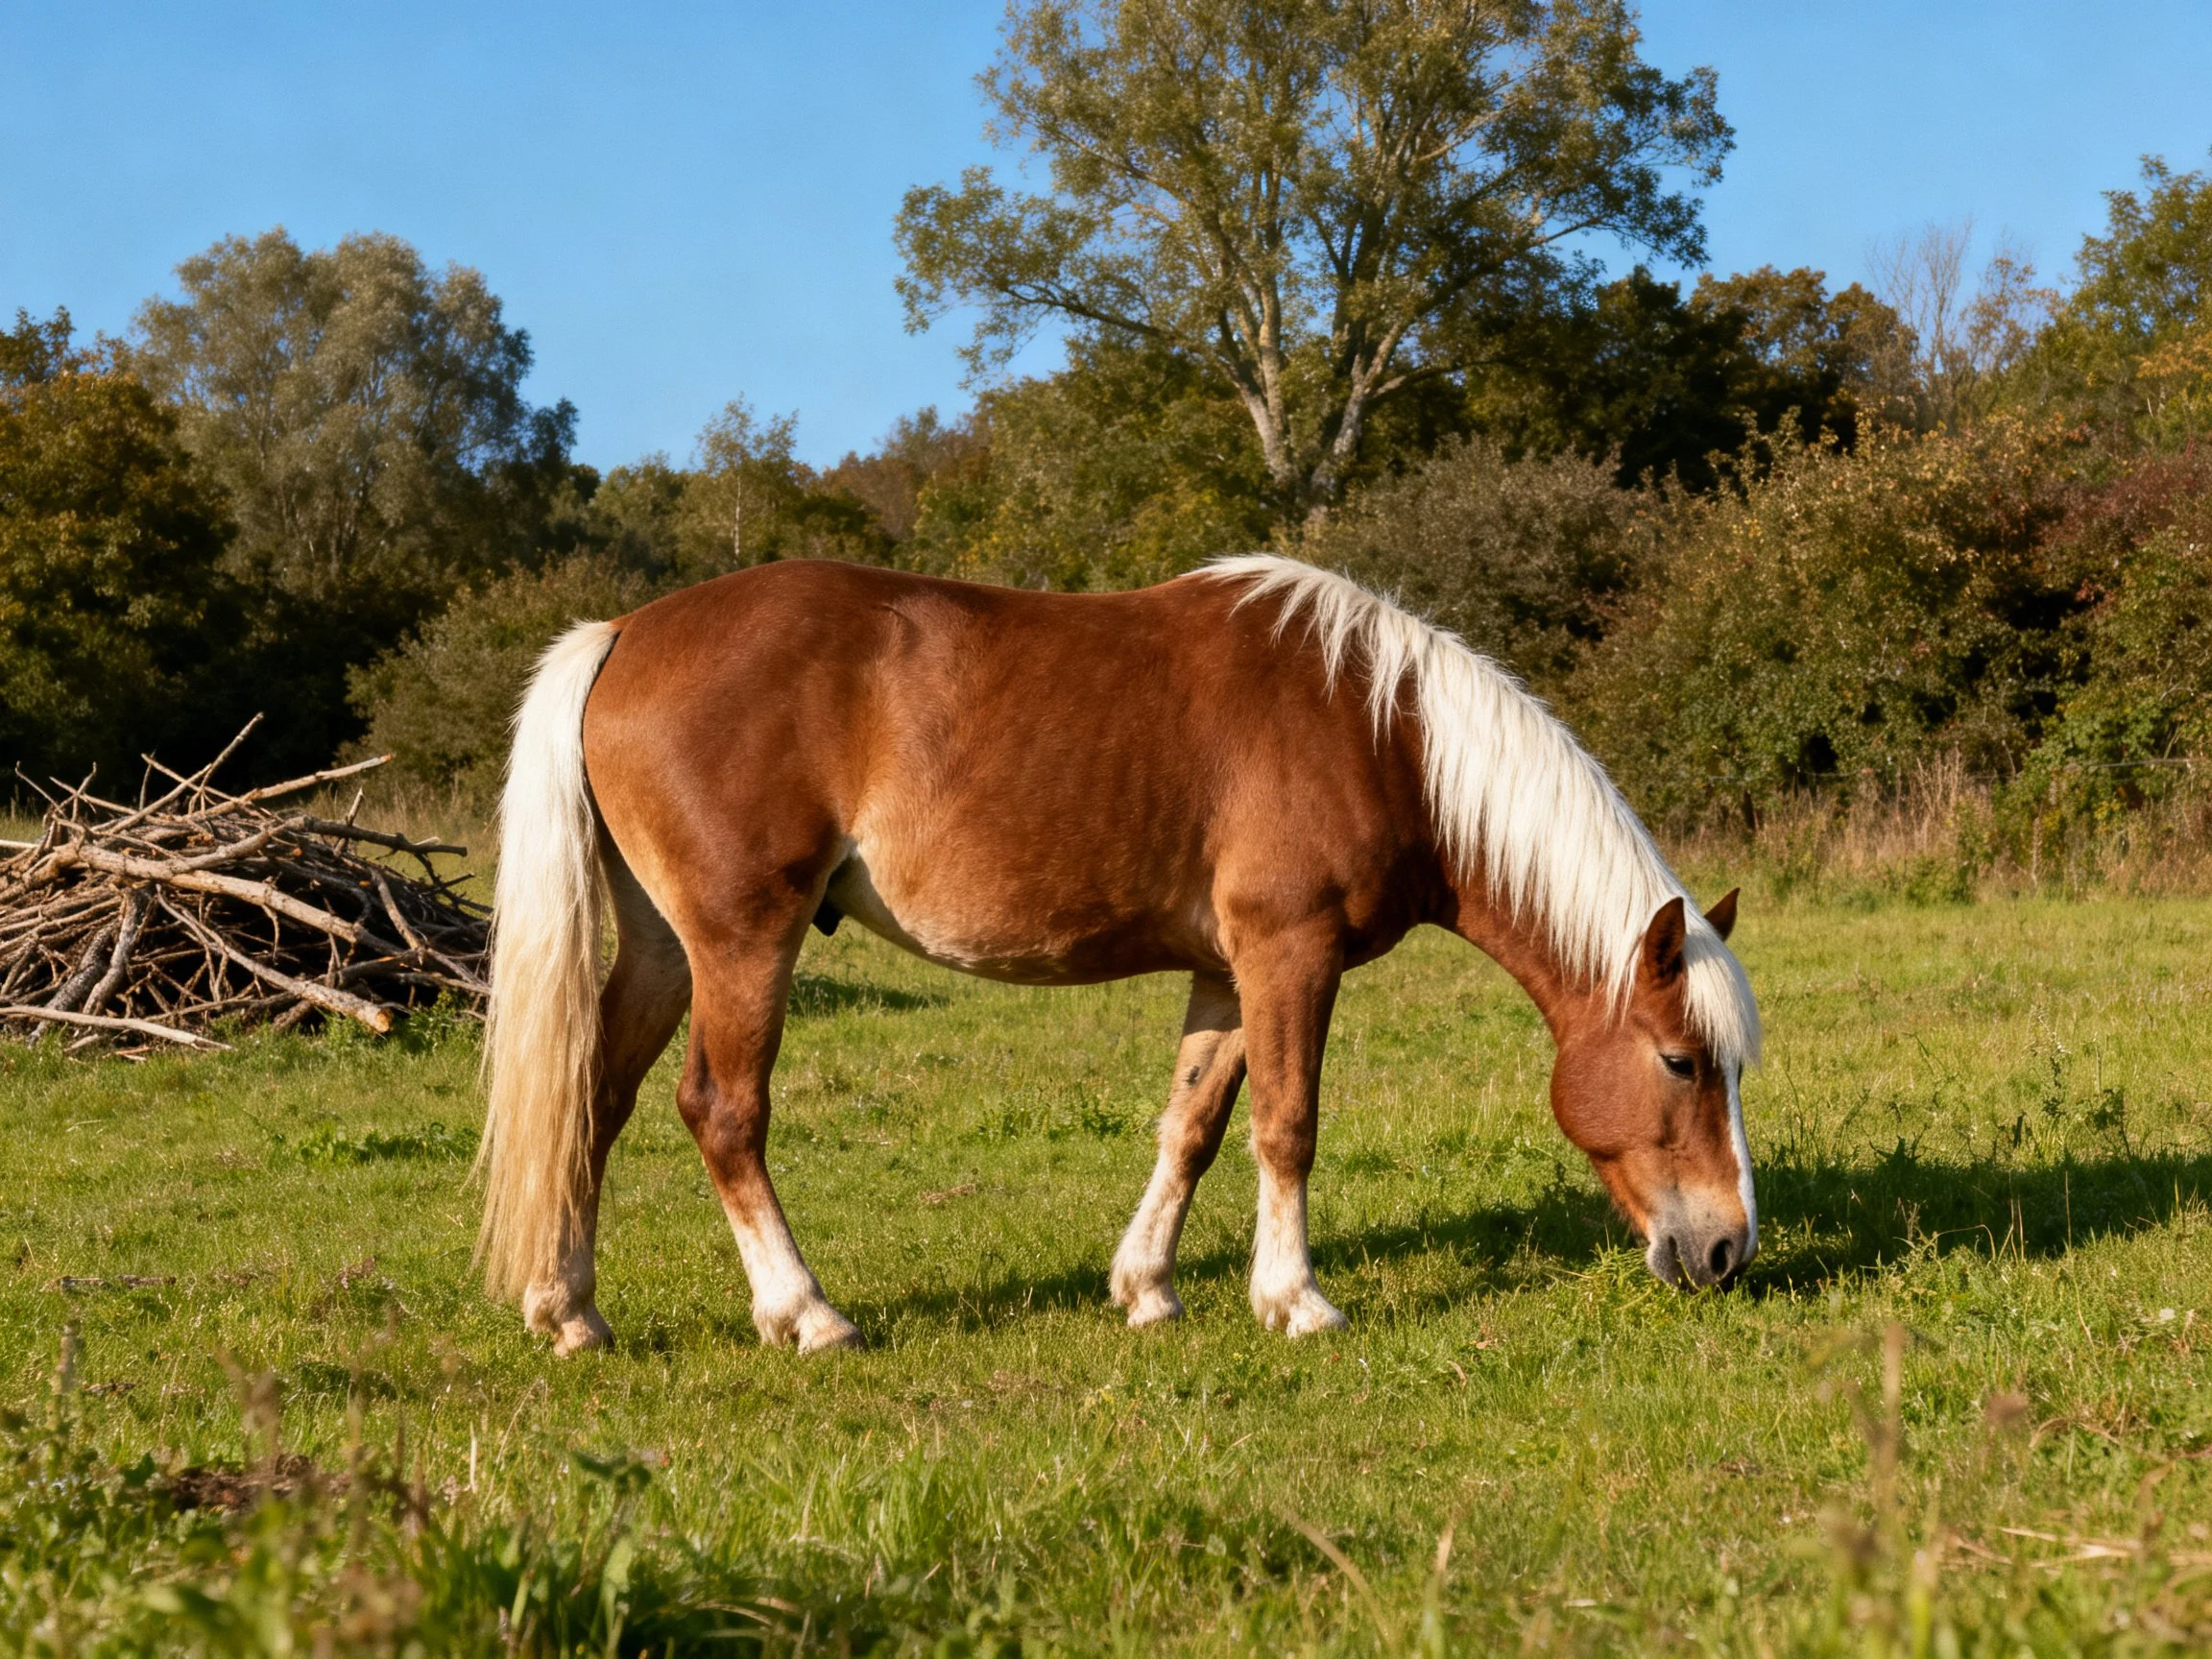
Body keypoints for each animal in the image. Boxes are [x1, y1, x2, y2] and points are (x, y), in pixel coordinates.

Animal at [475, 555, 1761, 1356]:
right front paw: (1296, 1299)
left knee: (594, 1098)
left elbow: (1191, 1125)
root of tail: (623, 634)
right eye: (1683, 1063)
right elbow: (1286, 1126)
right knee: (722, 1112)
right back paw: (808, 1314)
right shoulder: (1290, 955)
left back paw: (568, 1310)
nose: (1727, 1251)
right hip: (745, 941)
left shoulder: (1229, 969)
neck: (1382, 732)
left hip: (662, 949)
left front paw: (1148, 1289)